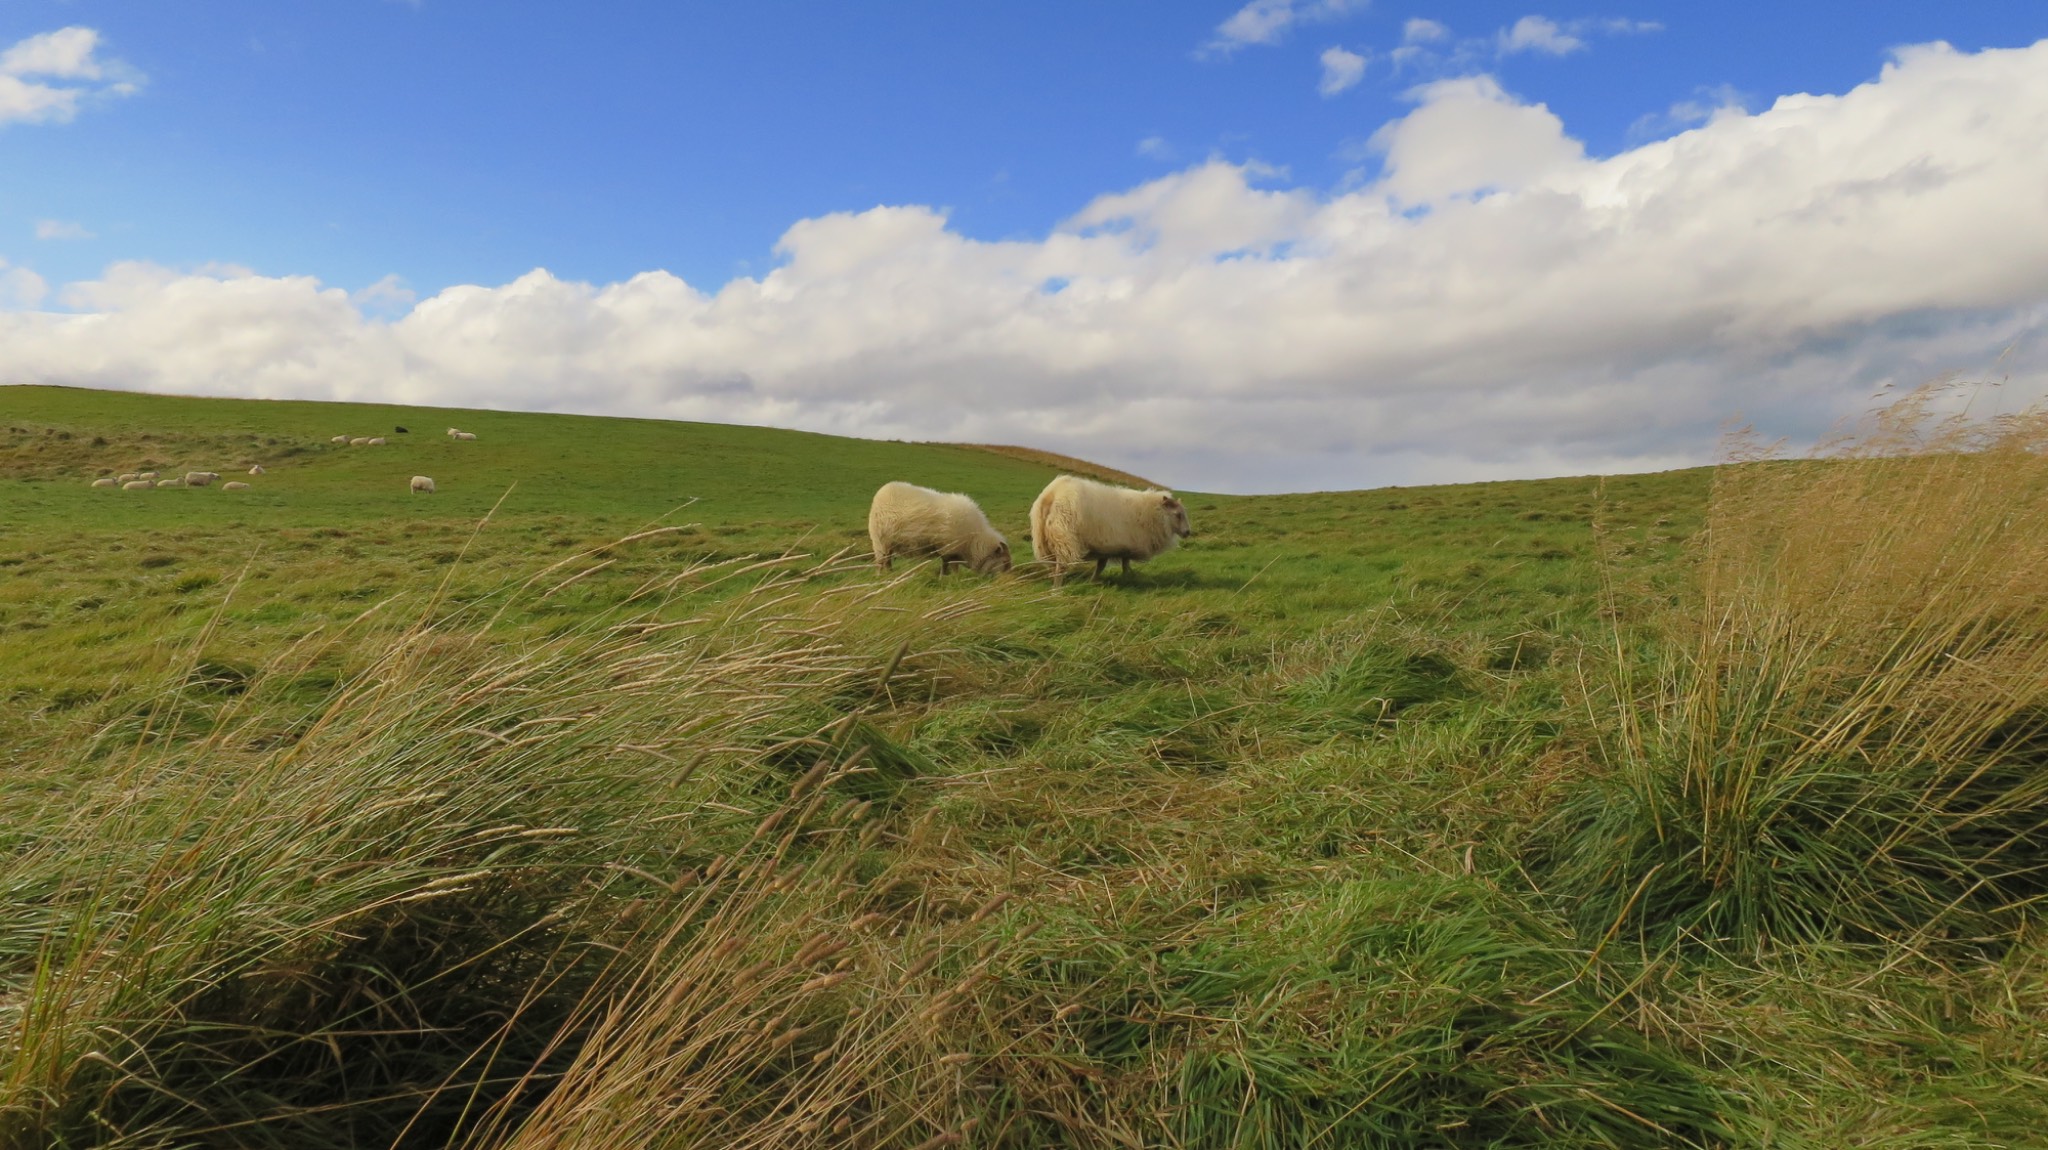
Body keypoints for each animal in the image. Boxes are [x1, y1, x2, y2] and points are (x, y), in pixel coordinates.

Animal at [867, 481, 1011, 575]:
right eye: (1004, 562)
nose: (1007, 580)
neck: (974, 540)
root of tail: (881, 492)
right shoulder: (949, 549)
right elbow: (949, 565)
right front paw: (951, 578)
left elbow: (946, 565)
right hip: (880, 540)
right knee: (880, 561)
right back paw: (880, 576)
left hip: (889, 544)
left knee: (887, 561)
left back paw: (890, 574)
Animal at [1029, 474, 1193, 583]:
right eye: (1178, 514)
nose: (1187, 532)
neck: (1153, 513)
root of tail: (1052, 493)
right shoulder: (1122, 547)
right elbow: (1123, 565)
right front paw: (1127, 579)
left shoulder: (1107, 548)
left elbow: (1103, 566)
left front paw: (1093, 582)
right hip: (1065, 538)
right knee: (1059, 568)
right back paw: (1056, 592)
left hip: (1045, 541)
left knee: (1054, 567)